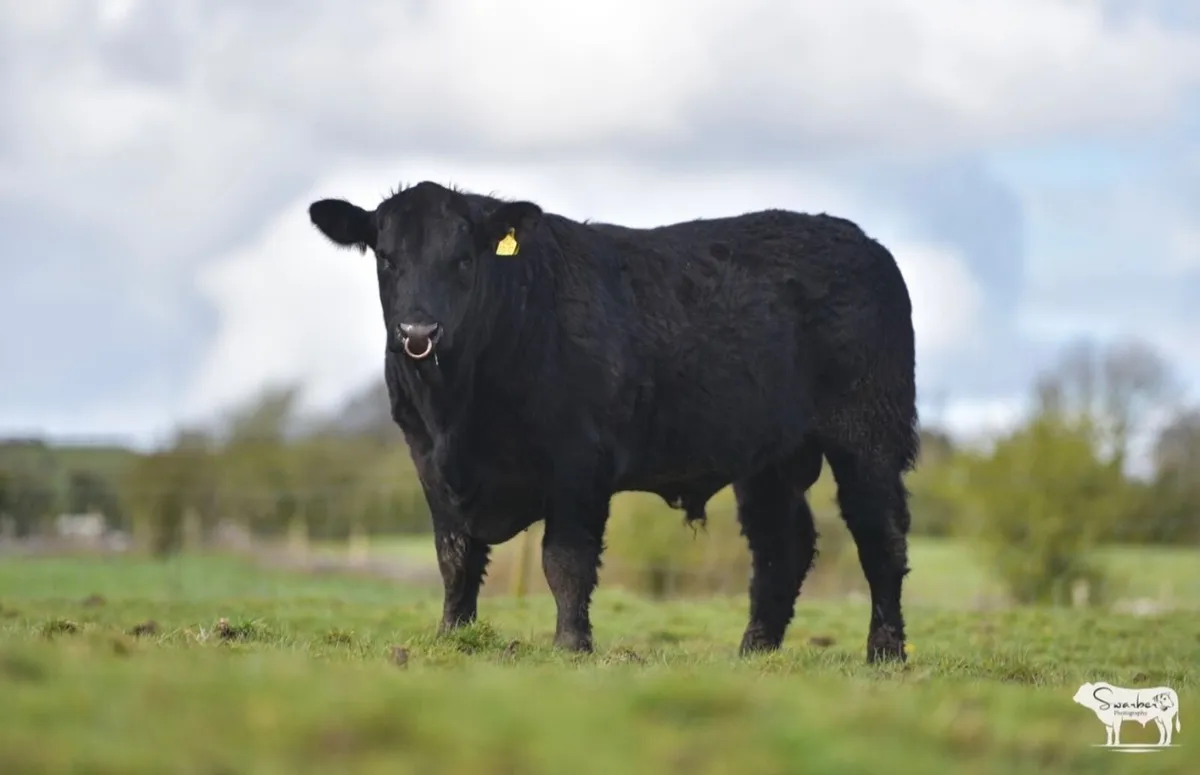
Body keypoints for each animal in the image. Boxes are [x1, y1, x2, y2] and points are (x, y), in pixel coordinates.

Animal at [306, 180, 920, 662]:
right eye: (387, 258)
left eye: (463, 259)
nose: (418, 331)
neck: (459, 410)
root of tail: (862, 243)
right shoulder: (430, 463)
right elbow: (455, 558)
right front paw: (451, 637)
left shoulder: (578, 462)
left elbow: (565, 561)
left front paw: (571, 646)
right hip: (769, 457)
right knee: (781, 546)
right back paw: (755, 651)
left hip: (869, 434)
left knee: (880, 536)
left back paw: (885, 652)